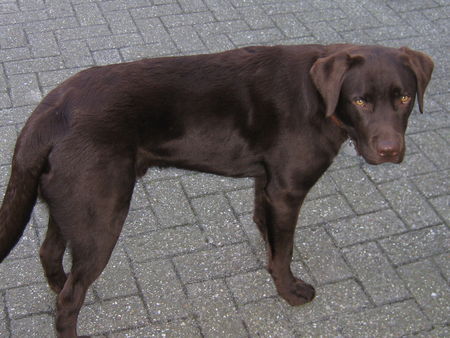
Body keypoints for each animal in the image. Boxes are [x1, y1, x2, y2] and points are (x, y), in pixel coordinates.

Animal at [0, 44, 432, 336]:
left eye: (404, 97)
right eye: (360, 100)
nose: (390, 150)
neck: (321, 100)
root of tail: (48, 112)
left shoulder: (267, 185)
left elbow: (268, 233)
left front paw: (271, 263)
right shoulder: (287, 191)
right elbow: (285, 249)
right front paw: (289, 290)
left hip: (74, 205)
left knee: (50, 254)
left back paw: (60, 282)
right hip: (102, 217)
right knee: (69, 300)